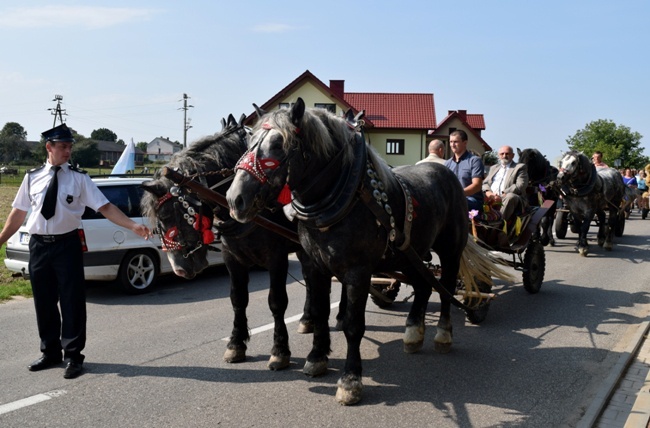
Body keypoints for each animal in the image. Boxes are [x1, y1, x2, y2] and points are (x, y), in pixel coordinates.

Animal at [141, 114, 324, 372]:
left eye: (167, 215)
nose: (179, 269)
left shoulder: (277, 257)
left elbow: (277, 301)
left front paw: (279, 351)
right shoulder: (232, 257)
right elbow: (238, 299)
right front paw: (236, 344)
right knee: (310, 277)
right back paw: (308, 319)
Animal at [227, 98, 506, 404]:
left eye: (279, 144)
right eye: (249, 142)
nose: (235, 199)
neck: (347, 198)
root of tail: (447, 173)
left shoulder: (357, 272)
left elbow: (353, 325)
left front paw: (350, 381)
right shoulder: (315, 266)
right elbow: (320, 311)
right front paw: (316, 358)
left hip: (450, 249)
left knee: (444, 288)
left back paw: (442, 334)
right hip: (409, 254)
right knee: (423, 285)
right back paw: (413, 332)